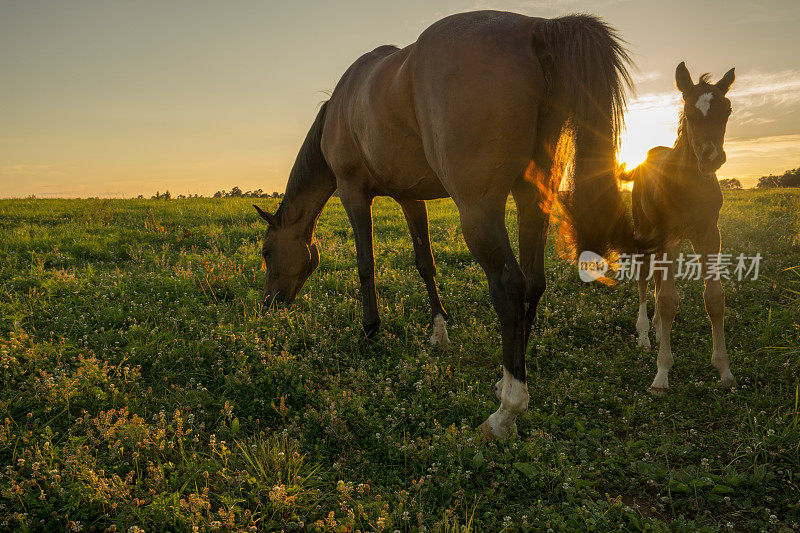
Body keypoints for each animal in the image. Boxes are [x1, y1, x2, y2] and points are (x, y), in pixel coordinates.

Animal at [253, 10, 640, 438]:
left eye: (267, 252)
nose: (269, 304)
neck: (343, 106)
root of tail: (534, 28)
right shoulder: (411, 199)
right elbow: (426, 264)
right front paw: (439, 332)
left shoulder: (353, 193)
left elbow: (365, 265)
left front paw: (370, 330)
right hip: (532, 198)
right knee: (534, 282)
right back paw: (506, 378)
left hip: (479, 209)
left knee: (510, 285)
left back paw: (507, 409)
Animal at [620, 62, 736, 394]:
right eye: (689, 112)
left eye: (727, 110)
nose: (712, 157)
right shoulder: (669, 235)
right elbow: (668, 300)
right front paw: (661, 374)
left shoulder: (709, 234)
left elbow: (714, 298)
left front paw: (724, 371)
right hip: (647, 233)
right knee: (645, 280)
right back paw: (645, 334)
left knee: (659, 281)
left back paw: (659, 331)